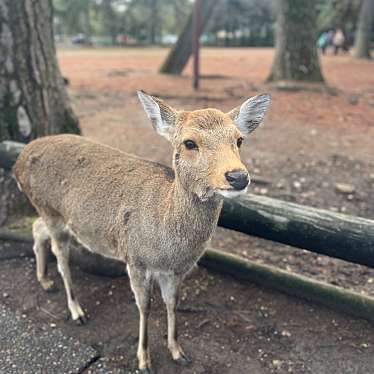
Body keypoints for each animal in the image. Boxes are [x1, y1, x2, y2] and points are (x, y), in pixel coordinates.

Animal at [13, 90, 270, 372]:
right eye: (189, 143)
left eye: (239, 139)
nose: (238, 177)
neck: (168, 247)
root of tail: (18, 160)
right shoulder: (135, 259)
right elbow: (145, 306)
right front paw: (144, 359)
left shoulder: (176, 270)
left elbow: (172, 303)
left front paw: (178, 352)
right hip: (48, 208)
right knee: (60, 256)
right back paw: (76, 310)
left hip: (54, 215)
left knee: (37, 229)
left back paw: (45, 281)